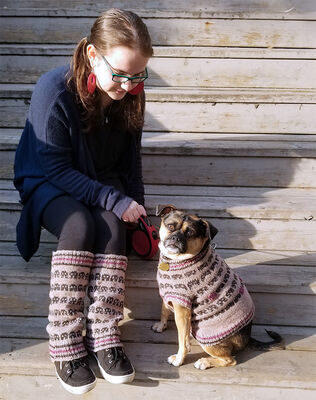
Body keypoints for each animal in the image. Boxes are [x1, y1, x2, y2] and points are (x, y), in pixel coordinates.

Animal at [152, 205, 286, 370]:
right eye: (170, 226)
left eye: (190, 232)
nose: (176, 238)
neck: (176, 260)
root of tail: (247, 337)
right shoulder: (169, 295)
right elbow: (164, 310)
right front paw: (161, 325)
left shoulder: (182, 308)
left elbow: (182, 340)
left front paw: (179, 359)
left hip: (207, 338)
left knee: (230, 360)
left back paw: (204, 361)